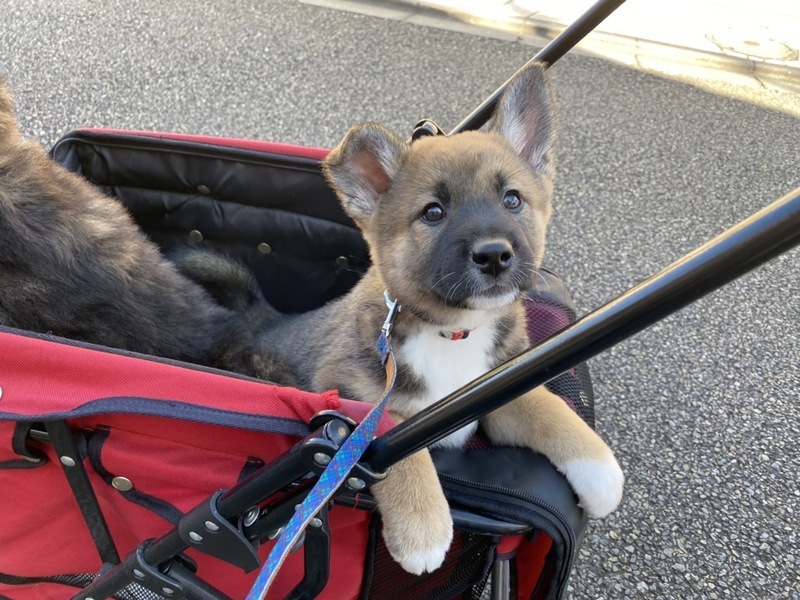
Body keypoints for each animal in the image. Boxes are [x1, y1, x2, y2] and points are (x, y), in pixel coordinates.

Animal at [180, 62, 624, 575]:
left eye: (512, 200)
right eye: (433, 212)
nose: (495, 255)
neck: (452, 332)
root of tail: (258, 316)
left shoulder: (495, 388)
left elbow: (546, 406)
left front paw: (598, 468)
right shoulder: (347, 392)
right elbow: (388, 431)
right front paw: (422, 525)